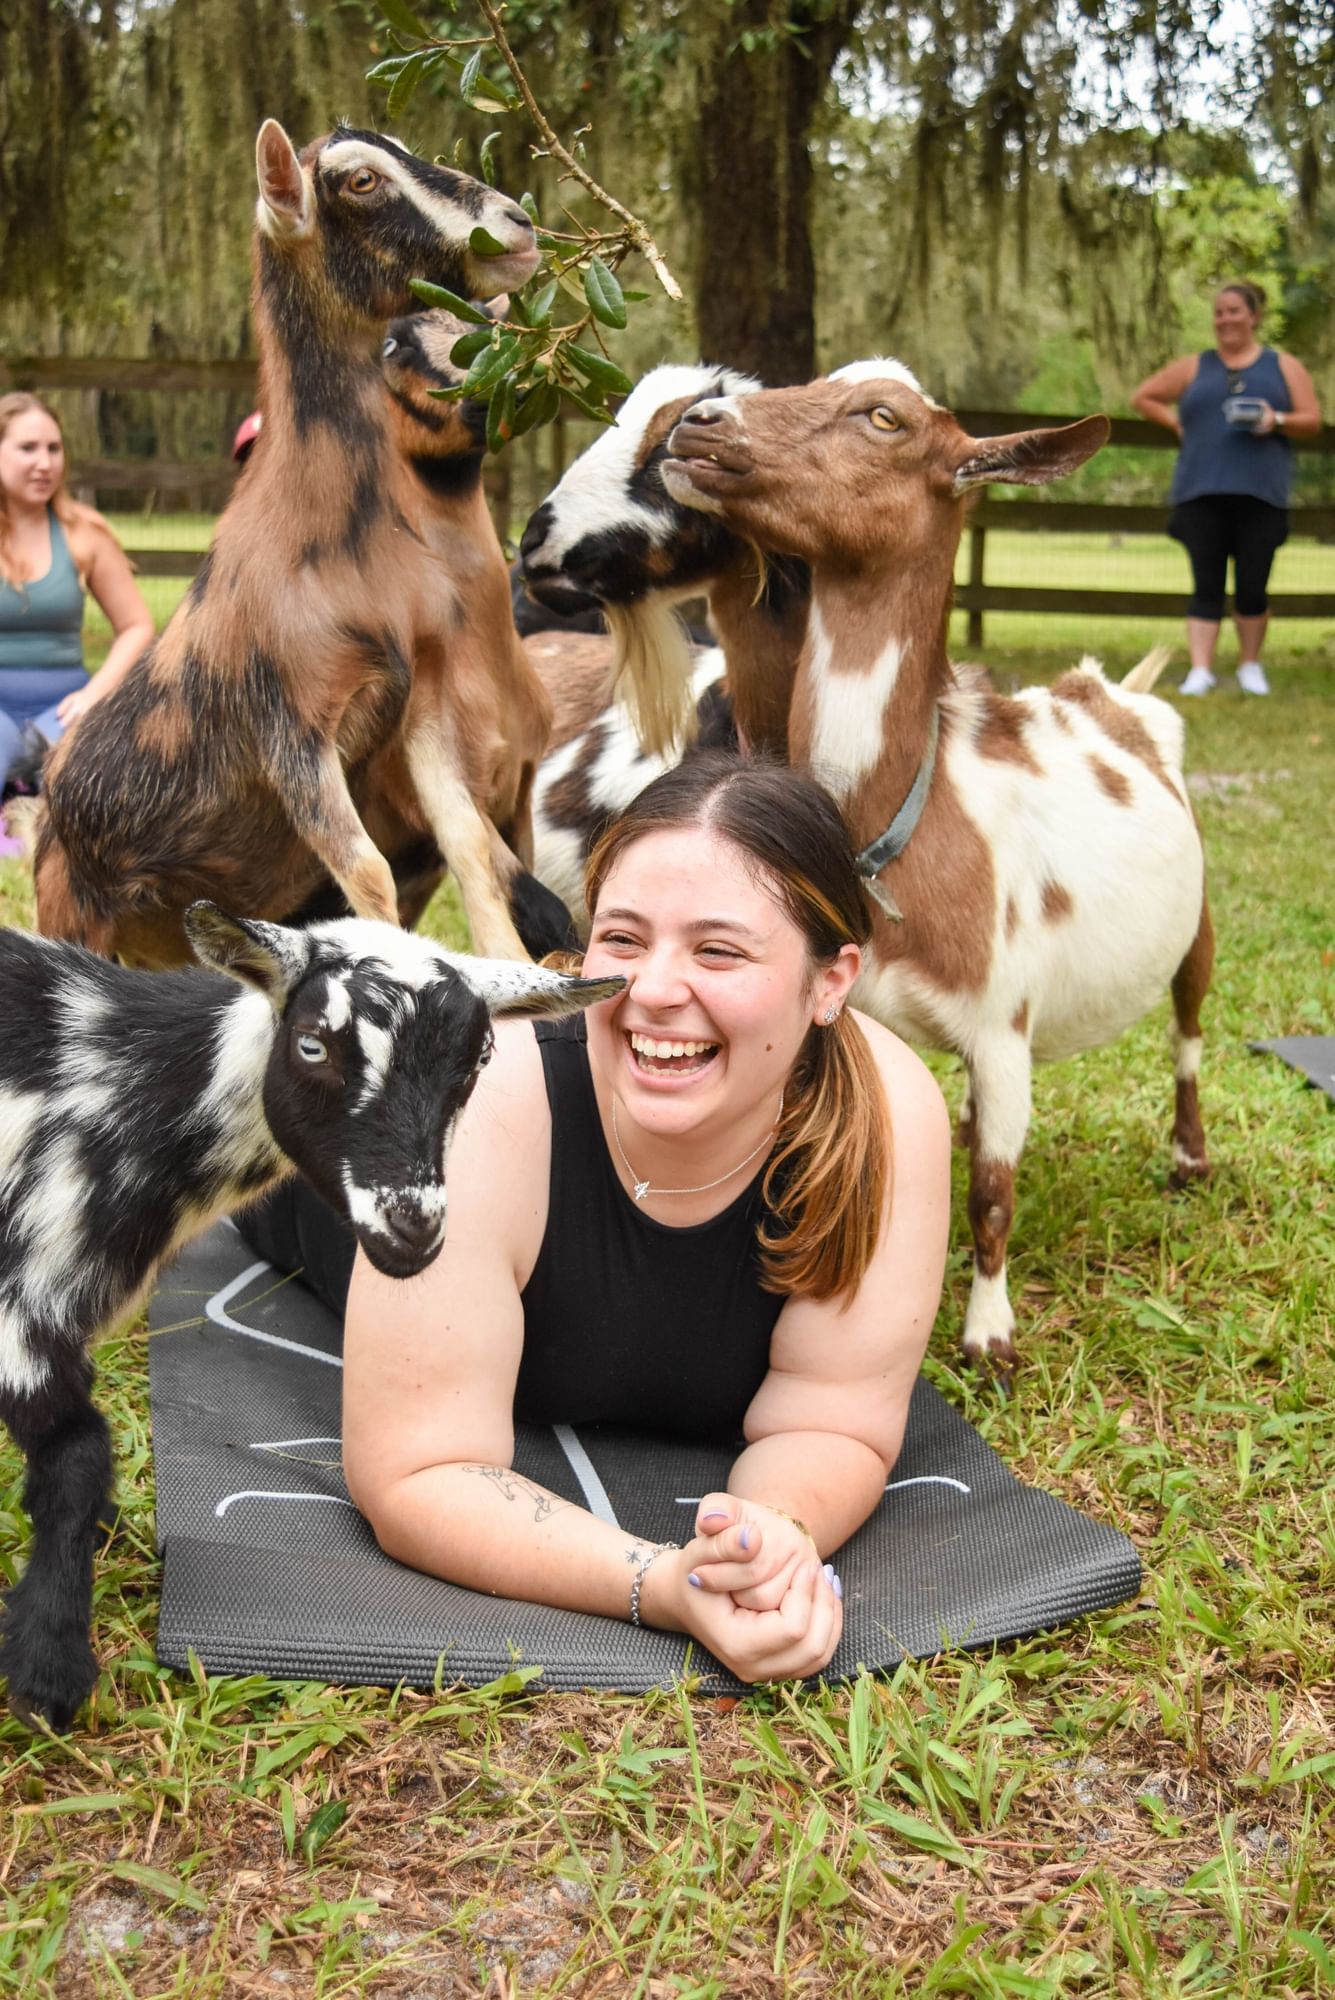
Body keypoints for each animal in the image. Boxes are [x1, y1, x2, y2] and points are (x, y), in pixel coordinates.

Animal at [0, 912, 627, 1736]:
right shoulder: (21, 1307)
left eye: (481, 1057)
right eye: (311, 1045)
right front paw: (49, 1666)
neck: (112, 1081)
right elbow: (76, 1455)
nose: (413, 1228)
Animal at [29, 123, 535, 968]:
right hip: (70, 912)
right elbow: (367, 873)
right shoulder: (289, 725)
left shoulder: (420, 698)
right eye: (360, 180)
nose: (518, 223)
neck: (339, 548)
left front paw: (520, 968)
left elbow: (469, 843)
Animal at [663, 360, 1215, 1368]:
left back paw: (1187, 1158)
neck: (904, 824)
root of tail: (1111, 691)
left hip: (1198, 918)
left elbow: (994, 1192)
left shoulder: (1003, 1023)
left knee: (1187, 1030)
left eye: (883, 418)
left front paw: (989, 1337)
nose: (696, 421)